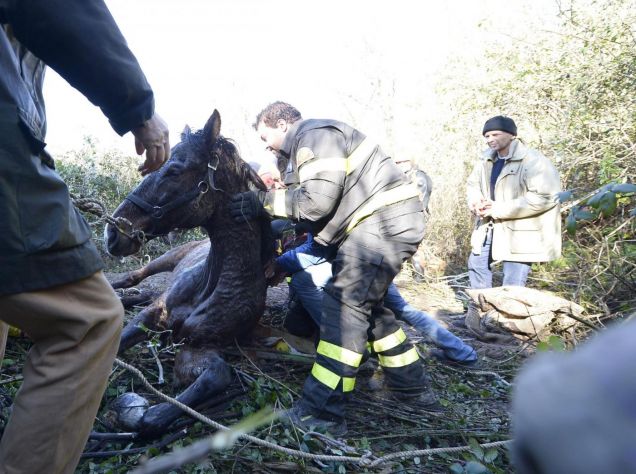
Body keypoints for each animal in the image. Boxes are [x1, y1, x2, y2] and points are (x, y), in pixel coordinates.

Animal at [105, 109, 274, 438]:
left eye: (173, 170)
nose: (112, 232)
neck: (213, 283)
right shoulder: (153, 314)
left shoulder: (196, 345)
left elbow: (217, 374)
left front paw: (151, 414)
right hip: (163, 261)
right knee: (134, 278)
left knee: (142, 291)